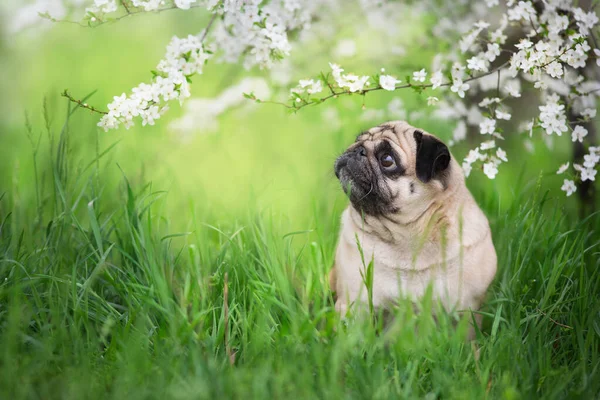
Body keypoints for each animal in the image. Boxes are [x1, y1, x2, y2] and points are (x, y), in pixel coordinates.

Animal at [330, 120, 494, 324]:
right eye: (358, 140)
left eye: (387, 160)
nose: (357, 149)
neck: (407, 236)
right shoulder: (353, 304)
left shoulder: (467, 310)